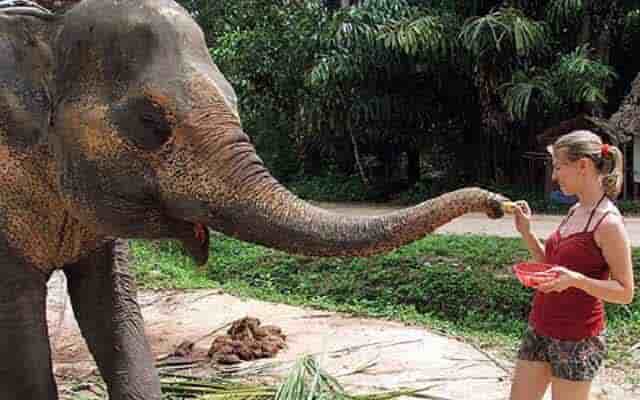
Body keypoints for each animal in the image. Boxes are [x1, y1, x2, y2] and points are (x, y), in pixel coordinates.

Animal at [0, 1, 510, 398]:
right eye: (149, 120)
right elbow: (21, 330)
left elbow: (114, 307)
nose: (500, 205)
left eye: (234, 98)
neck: (44, 24)